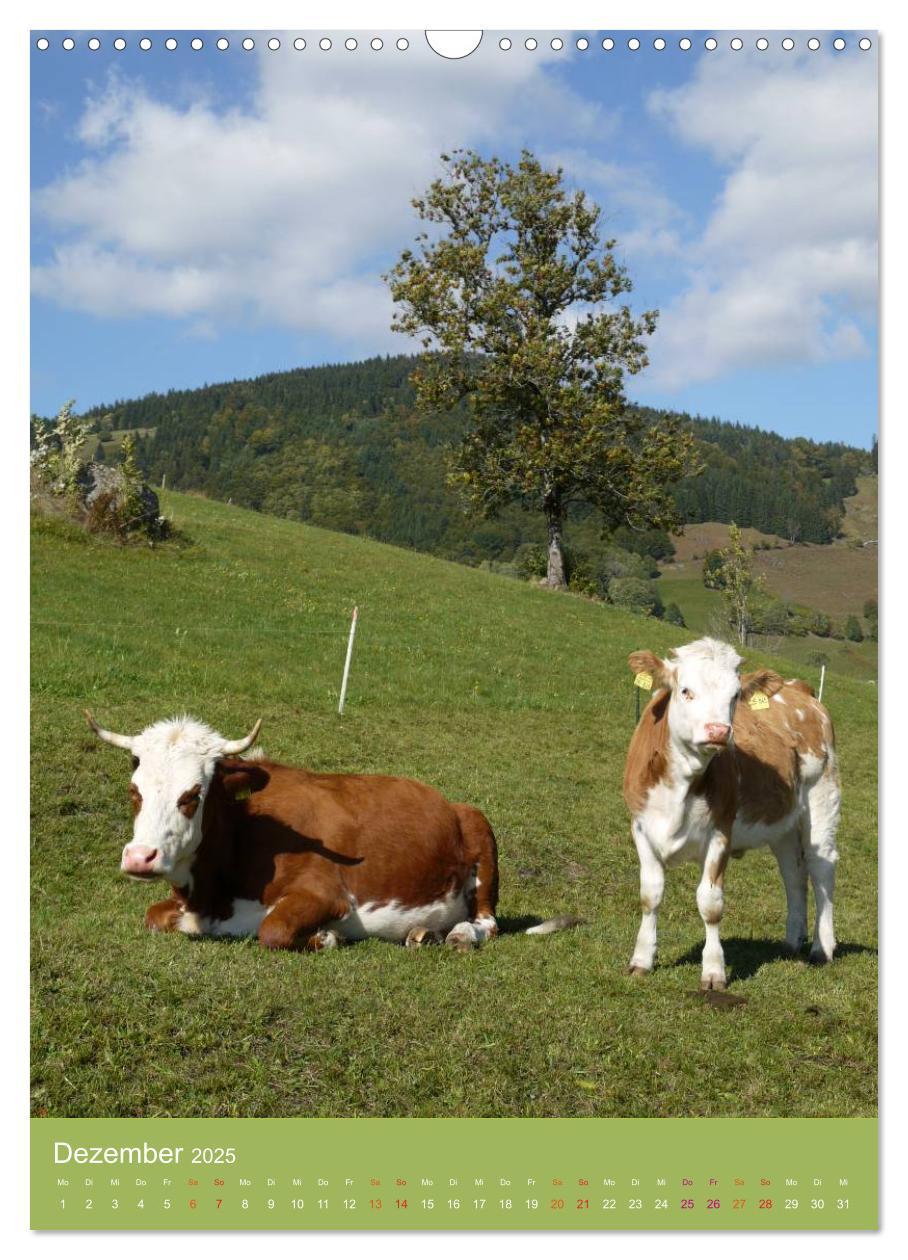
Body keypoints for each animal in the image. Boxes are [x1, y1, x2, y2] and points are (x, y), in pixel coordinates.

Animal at [86, 715, 574, 947]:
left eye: (192, 794)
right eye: (134, 790)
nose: (140, 857)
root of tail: (451, 802)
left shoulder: (326, 893)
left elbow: (273, 930)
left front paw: (326, 937)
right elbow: (152, 916)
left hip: (481, 835)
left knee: (487, 922)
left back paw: (457, 936)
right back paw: (423, 934)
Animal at [619, 640, 841, 982]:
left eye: (735, 695)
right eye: (685, 690)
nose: (719, 731)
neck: (681, 784)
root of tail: (799, 689)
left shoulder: (721, 831)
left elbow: (710, 903)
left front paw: (713, 971)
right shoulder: (641, 827)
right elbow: (650, 894)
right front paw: (642, 959)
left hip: (822, 796)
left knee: (821, 867)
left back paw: (822, 947)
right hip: (783, 823)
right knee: (793, 872)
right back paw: (792, 941)